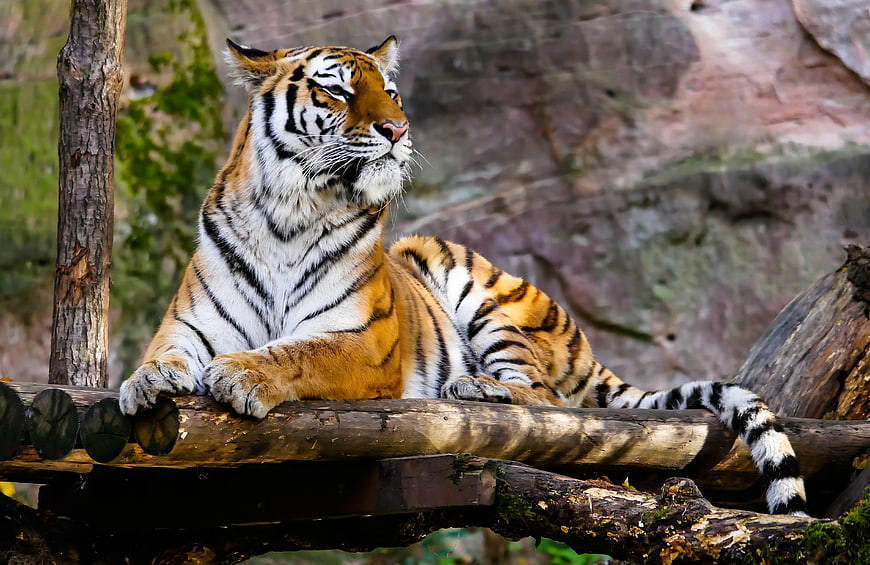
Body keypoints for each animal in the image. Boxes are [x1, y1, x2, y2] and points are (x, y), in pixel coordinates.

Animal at [118, 36, 808, 516]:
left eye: (391, 93)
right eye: (338, 91)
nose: (397, 129)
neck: (288, 215)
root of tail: (586, 346)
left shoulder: (365, 343)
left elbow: (298, 353)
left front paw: (242, 374)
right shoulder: (190, 323)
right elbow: (165, 354)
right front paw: (143, 383)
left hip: (474, 287)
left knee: (548, 400)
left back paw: (475, 389)